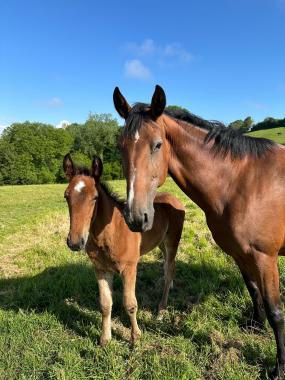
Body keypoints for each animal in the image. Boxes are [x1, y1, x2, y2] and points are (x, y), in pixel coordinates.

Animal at [62, 154, 184, 348]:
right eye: (66, 196)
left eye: (95, 198)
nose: (75, 242)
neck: (111, 233)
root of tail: (174, 198)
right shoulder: (100, 269)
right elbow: (105, 304)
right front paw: (105, 339)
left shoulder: (129, 268)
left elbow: (130, 304)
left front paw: (135, 338)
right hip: (161, 243)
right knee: (167, 267)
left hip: (172, 241)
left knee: (170, 268)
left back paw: (161, 310)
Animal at [112, 84, 284, 378]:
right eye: (120, 147)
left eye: (157, 145)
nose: (135, 217)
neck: (242, 183)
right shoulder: (240, 254)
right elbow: (253, 291)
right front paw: (255, 326)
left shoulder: (265, 258)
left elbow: (276, 312)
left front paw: (279, 368)